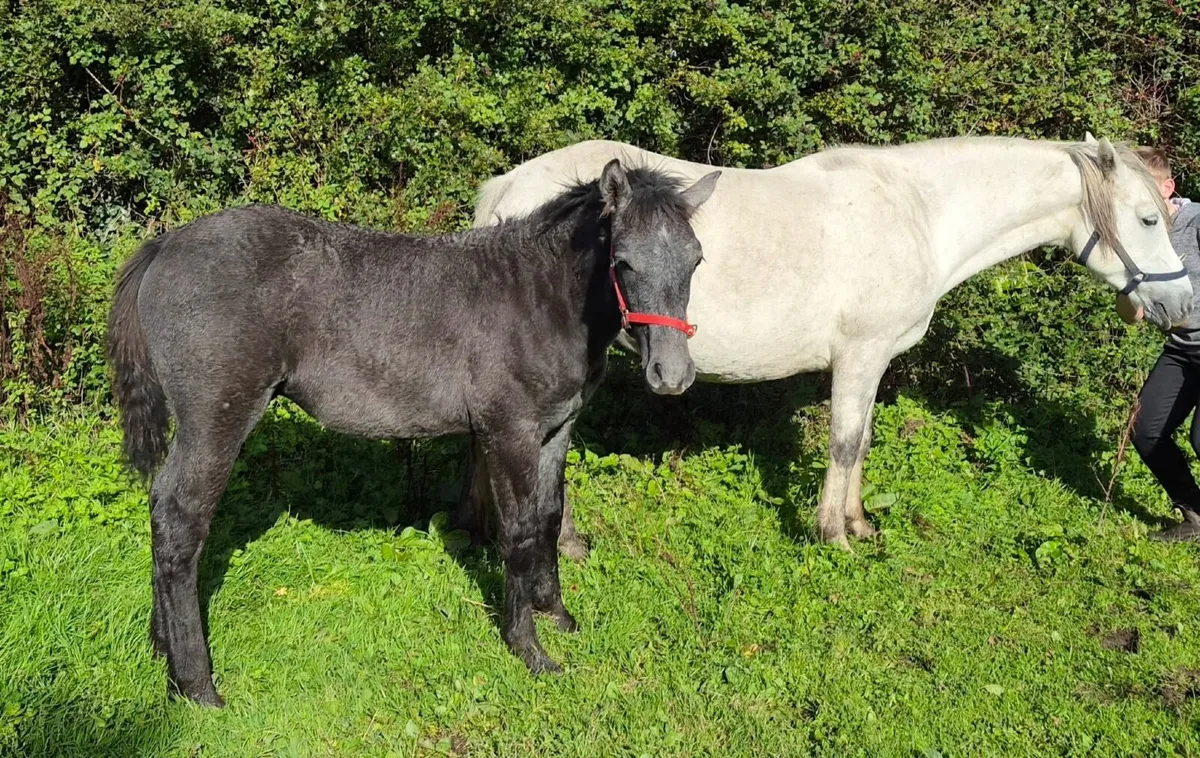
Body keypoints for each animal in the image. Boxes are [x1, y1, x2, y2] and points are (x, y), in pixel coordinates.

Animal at [106, 159, 721, 706]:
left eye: (695, 261)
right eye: (623, 261)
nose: (671, 375)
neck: (539, 296)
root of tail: (165, 245)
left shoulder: (556, 430)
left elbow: (548, 518)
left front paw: (558, 614)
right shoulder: (510, 432)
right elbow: (519, 531)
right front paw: (529, 649)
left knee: (160, 510)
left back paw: (162, 648)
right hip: (217, 420)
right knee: (181, 522)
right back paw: (196, 685)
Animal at [471, 134, 1192, 553]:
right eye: (1147, 219)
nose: (1182, 305)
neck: (918, 212)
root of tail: (506, 188)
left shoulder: (874, 362)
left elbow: (862, 441)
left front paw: (860, 524)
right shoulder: (860, 355)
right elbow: (844, 443)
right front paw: (832, 536)